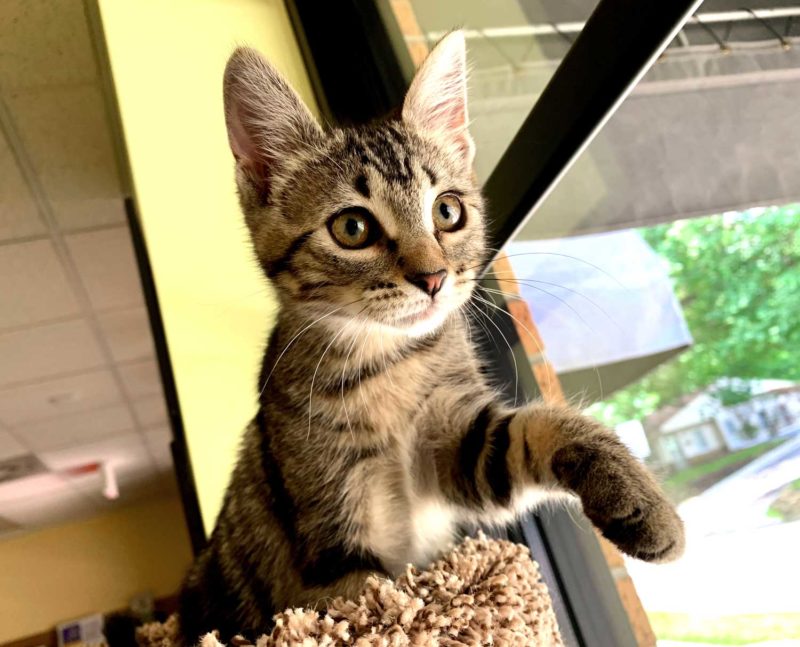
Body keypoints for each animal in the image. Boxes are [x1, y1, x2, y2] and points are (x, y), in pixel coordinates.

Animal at [178, 31, 684, 644]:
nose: (434, 277)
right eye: (352, 227)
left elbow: (532, 432)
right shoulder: (329, 541)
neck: (388, 361)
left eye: (448, 210)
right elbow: (361, 605)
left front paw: (641, 500)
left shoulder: (457, 447)